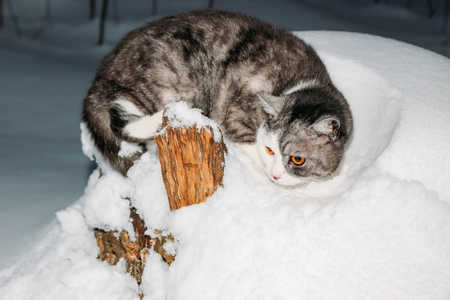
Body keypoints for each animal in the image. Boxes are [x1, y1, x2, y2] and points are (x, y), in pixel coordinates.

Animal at [82, 9, 354, 186]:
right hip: (171, 81)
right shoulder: (236, 118)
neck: (301, 83)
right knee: (122, 123)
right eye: (269, 150)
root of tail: (100, 75)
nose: (275, 175)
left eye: (297, 159)